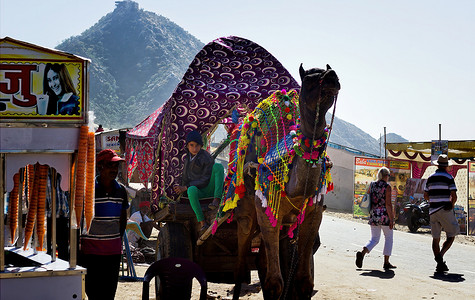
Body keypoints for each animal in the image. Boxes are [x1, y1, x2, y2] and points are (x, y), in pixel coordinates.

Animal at [220, 64, 342, 298]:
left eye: (329, 70)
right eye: (310, 77)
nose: (332, 77)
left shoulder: (313, 216)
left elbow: (304, 280)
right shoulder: (266, 213)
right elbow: (274, 282)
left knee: (261, 261)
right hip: (245, 217)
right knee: (240, 267)